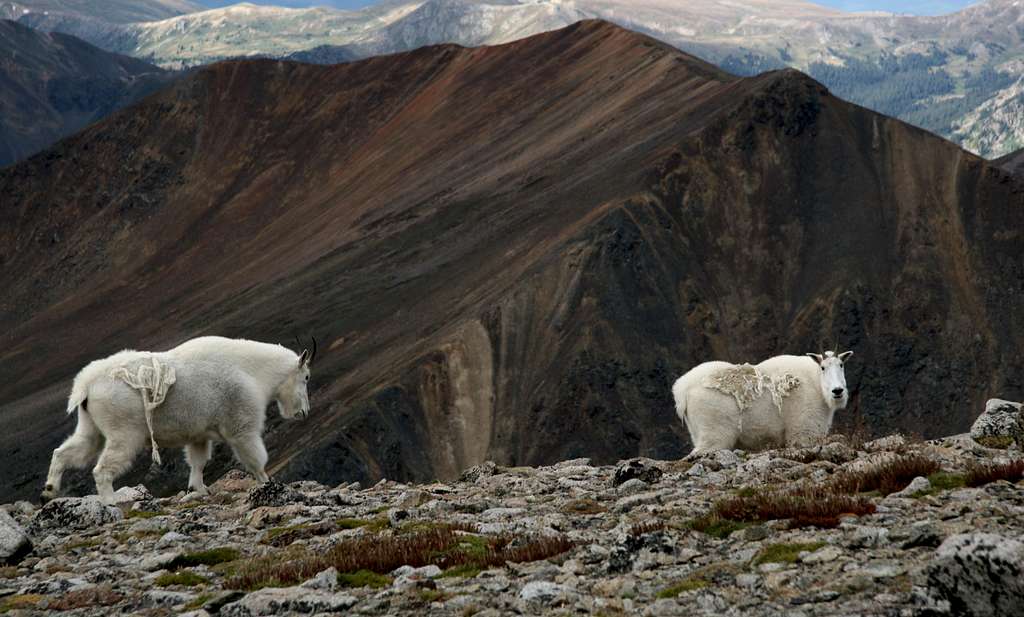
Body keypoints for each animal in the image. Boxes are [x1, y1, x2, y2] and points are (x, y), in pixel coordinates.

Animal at [41, 337, 315, 507]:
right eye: (306, 377)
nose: (304, 412)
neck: (254, 372)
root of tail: (86, 385)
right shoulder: (241, 422)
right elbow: (254, 457)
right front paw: (268, 483)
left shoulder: (198, 434)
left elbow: (198, 461)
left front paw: (198, 489)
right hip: (124, 429)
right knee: (102, 468)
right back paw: (110, 501)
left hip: (90, 423)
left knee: (71, 450)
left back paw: (49, 489)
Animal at [671, 349, 856, 456]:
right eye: (823, 367)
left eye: (841, 365)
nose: (837, 391)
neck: (816, 383)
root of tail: (682, 391)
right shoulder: (803, 427)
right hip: (714, 424)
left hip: (696, 429)